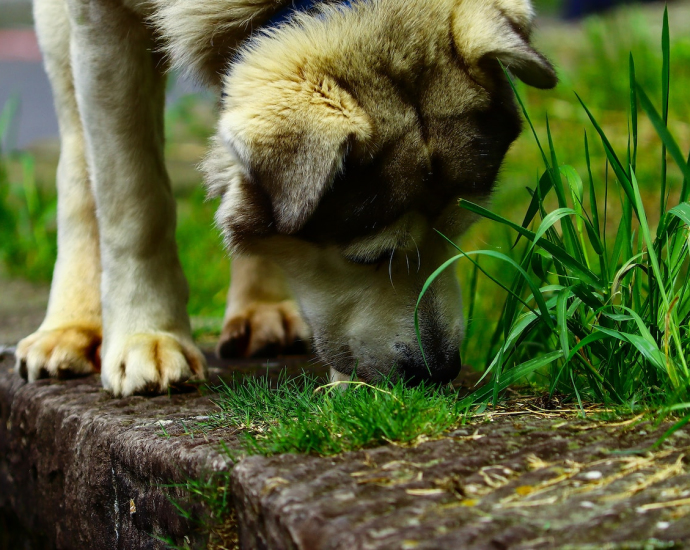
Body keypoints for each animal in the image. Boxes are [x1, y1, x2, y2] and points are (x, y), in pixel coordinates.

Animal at [16, 0, 552, 396]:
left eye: (457, 233)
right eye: (369, 257)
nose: (439, 370)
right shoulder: (100, 22)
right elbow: (133, 200)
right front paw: (147, 334)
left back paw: (262, 309)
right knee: (79, 157)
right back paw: (70, 325)